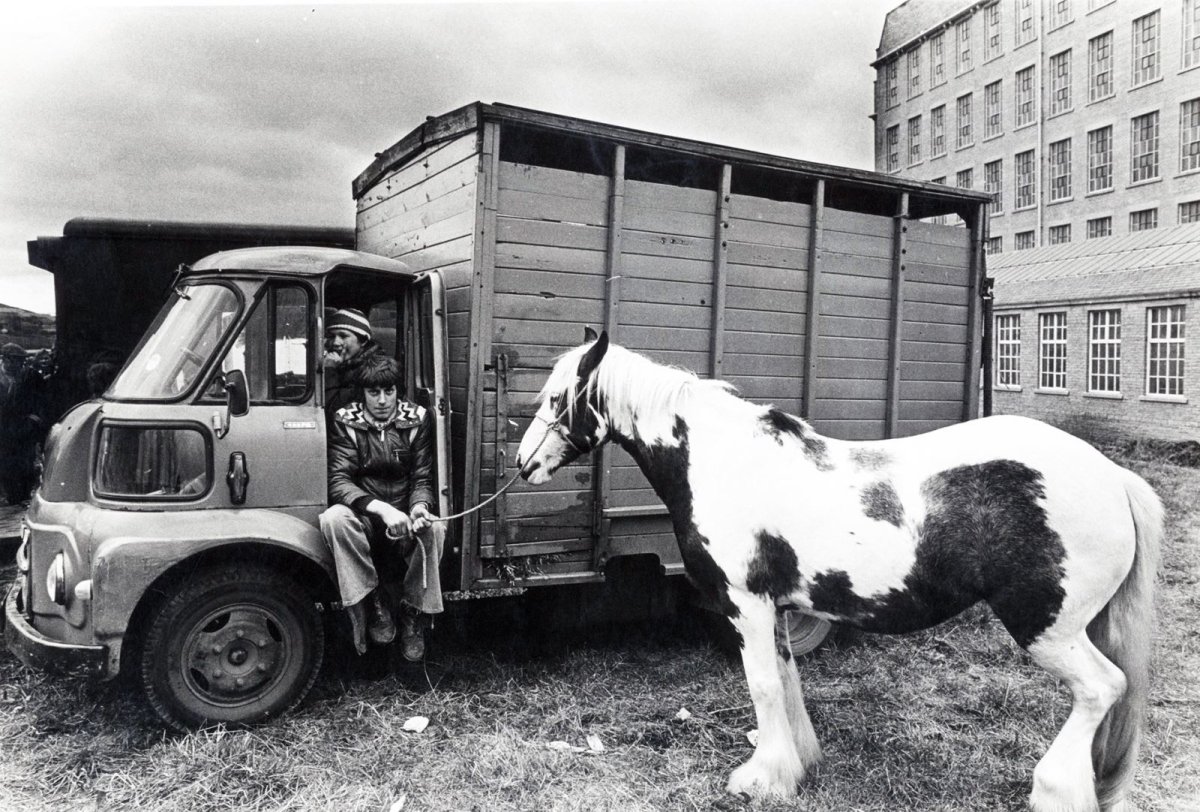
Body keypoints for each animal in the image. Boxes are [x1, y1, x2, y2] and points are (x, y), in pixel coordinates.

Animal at [516, 326, 1161, 806]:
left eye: (557, 398)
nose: (523, 463)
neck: (726, 462)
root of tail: (1113, 477)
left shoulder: (745, 604)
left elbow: (762, 685)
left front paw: (760, 780)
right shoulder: (775, 608)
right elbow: (785, 683)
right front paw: (794, 766)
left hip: (1047, 626)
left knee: (1102, 688)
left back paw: (1054, 789)